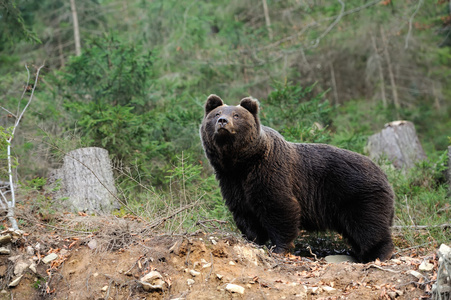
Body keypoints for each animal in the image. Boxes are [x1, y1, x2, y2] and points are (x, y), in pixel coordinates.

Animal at [201, 94, 396, 262]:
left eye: (236, 115)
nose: (222, 121)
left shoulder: (270, 174)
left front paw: (279, 247)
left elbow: (279, 208)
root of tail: (384, 174)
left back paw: (378, 254)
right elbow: (244, 212)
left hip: (359, 195)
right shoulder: (232, 182)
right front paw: (253, 240)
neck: (242, 163)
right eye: (216, 113)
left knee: (369, 227)